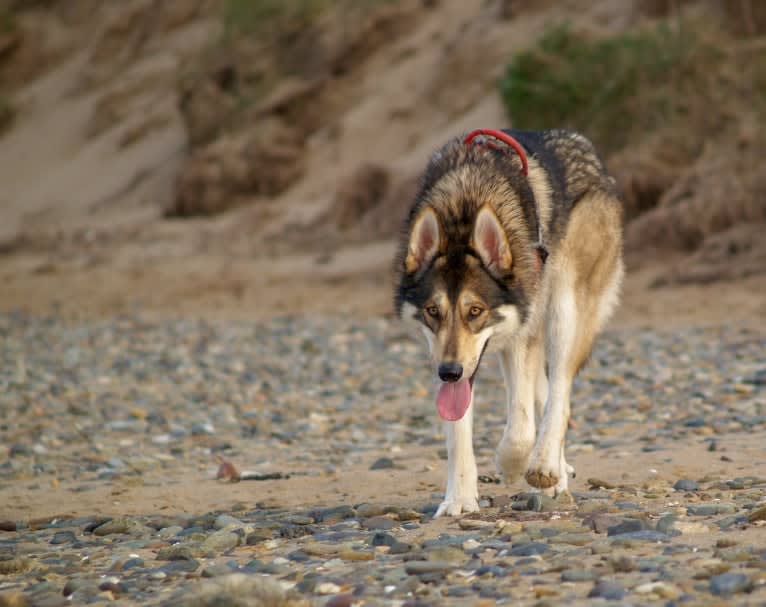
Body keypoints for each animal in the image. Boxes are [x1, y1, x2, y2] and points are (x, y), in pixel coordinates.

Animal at [396, 128, 624, 516]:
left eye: (475, 311)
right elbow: (458, 434)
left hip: (563, 312)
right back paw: (558, 472)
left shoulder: (520, 338)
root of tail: (583, 145)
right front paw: (459, 499)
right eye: (432, 311)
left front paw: (513, 464)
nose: (449, 372)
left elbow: (520, 430)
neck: (464, 208)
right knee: (545, 394)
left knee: (559, 391)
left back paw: (545, 465)